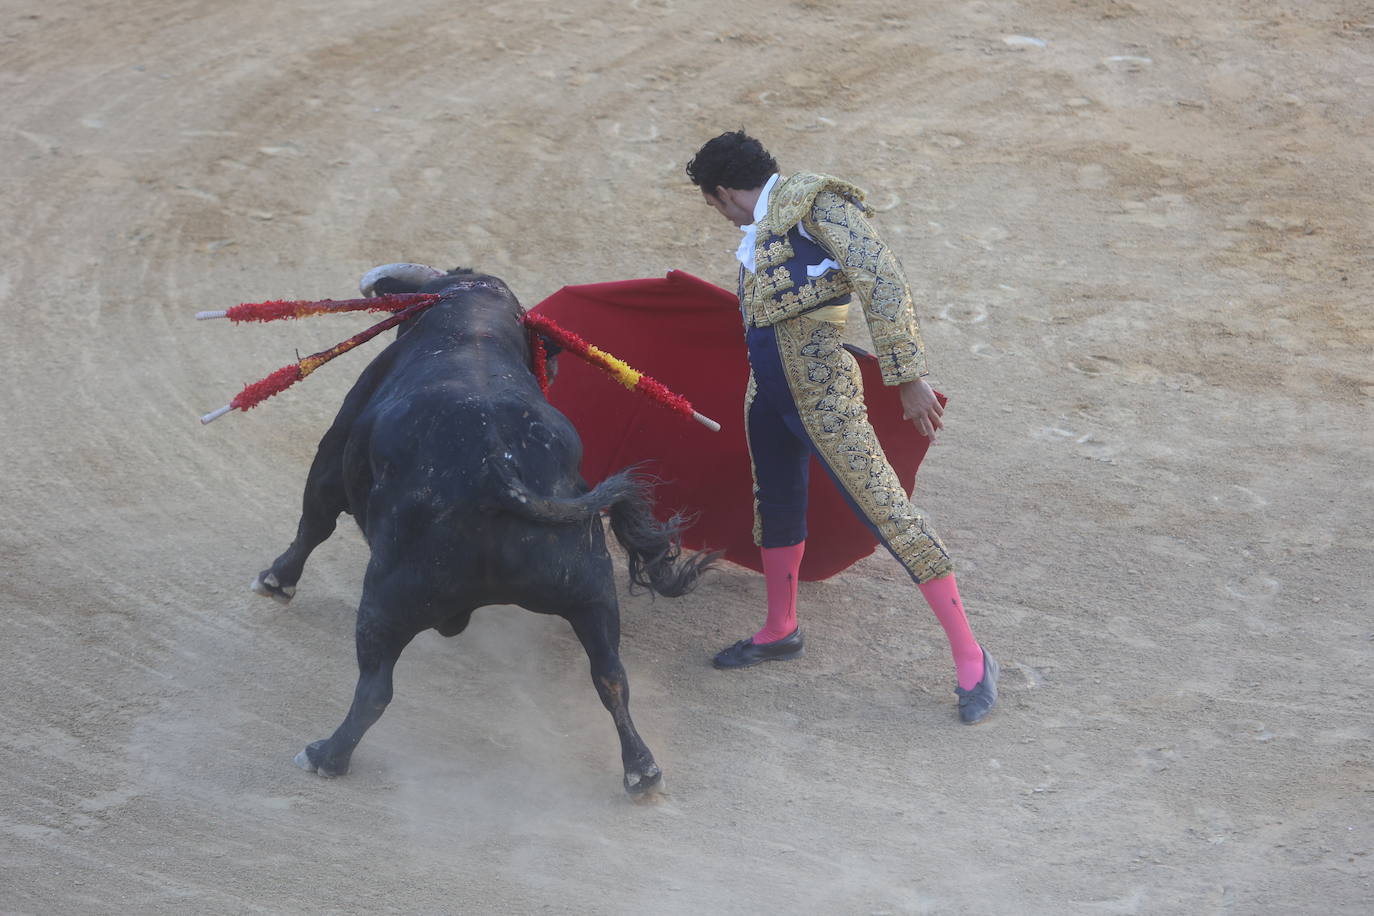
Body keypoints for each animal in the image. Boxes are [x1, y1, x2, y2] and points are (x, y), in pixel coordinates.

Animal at [251, 270, 714, 796]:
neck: (475, 322)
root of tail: (499, 474)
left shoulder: (335, 448)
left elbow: (315, 518)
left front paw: (276, 580)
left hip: (387, 599)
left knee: (375, 689)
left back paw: (325, 755)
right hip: (590, 591)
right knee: (611, 676)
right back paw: (642, 770)